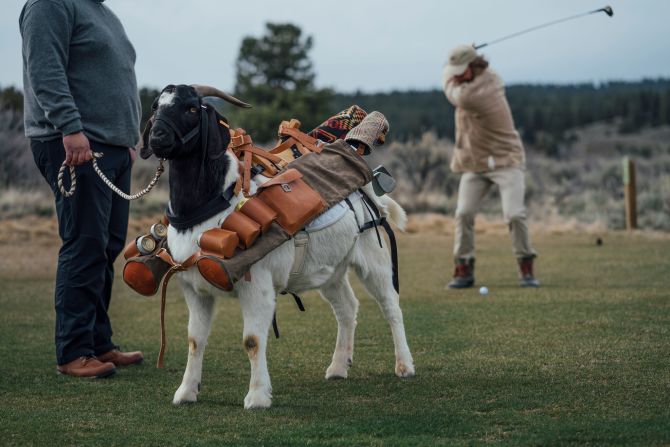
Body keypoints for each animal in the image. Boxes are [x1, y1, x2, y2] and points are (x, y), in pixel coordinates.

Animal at [142, 84, 414, 410]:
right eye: (156, 105)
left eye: (192, 108)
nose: (157, 136)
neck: (214, 203)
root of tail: (370, 192)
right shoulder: (194, 289)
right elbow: (195, 340)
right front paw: (186, 392)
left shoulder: (256, 286)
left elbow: (252, 341)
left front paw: (257, 396)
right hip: (331, 271)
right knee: (347, 308)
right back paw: (338, 366)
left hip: (374, 257)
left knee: (390, 305)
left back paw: (404, 365)